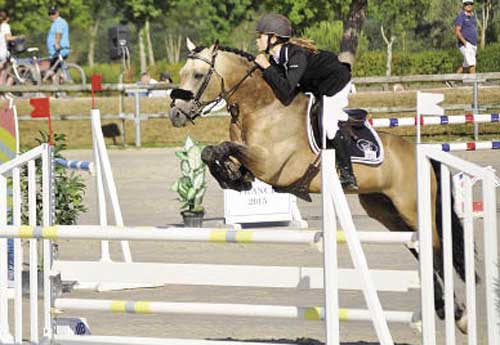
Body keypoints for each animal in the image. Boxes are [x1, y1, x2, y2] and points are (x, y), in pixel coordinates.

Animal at [170, 41, 470, 334]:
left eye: (198, 75)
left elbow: (222, 148)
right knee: (419, 250)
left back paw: (459, 315)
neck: (261, 107)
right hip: (386, 211)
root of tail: (418, 152)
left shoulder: (270, 163)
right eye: (182, 72)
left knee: (436, 249)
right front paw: (233, 178)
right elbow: (213, 152)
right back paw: (447, 310)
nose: (175, 114)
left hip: (412, 208)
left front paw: (232, 176)